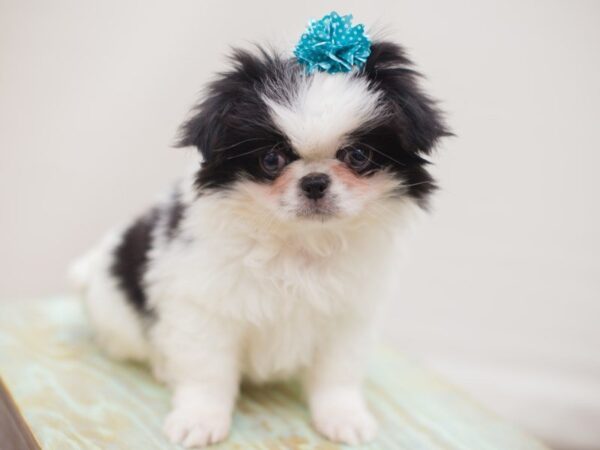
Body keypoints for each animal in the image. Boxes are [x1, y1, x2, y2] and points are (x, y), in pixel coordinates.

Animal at [70, 28, 448, 446]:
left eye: (358, 156)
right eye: (271, 160)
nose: (315, 181)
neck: (300, 243)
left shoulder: (347, 318)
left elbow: (338, 373)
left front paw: (343, 416)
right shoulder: (206, 311)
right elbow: (207, 373)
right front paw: (199, 419)